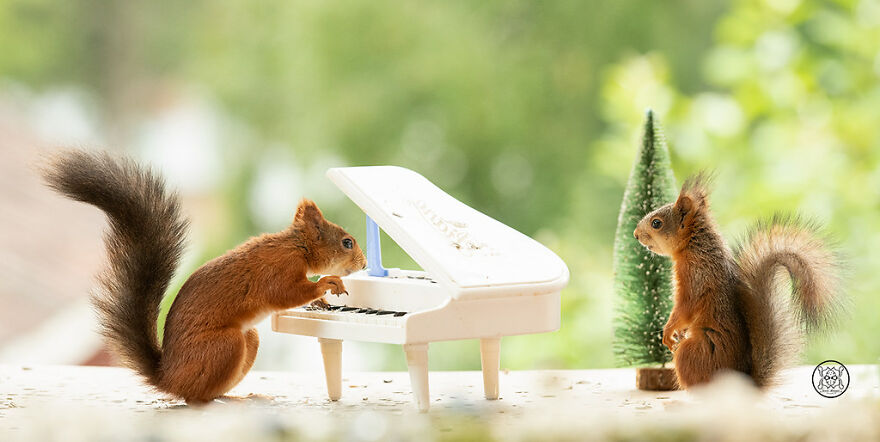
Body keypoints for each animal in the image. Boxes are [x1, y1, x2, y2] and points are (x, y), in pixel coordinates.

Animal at [42, 150, 367, 403]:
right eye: (347, 242)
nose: (364, 264)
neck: (296, 247)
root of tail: (169, 377)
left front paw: (321, 304)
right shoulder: (279, 269)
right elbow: (285, 294)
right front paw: (326, 284)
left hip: (247, 339)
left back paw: (242, 395)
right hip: (225, 346)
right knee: (195, 397)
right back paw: (230, 399)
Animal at [633, 174, 842, 389]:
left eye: (656, 223)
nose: (635, 235)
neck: (694, 247)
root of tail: (743, 383)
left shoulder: (694, 278)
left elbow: (684, 309)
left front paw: (668, 332)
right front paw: (677, 332)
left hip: (691, 353)